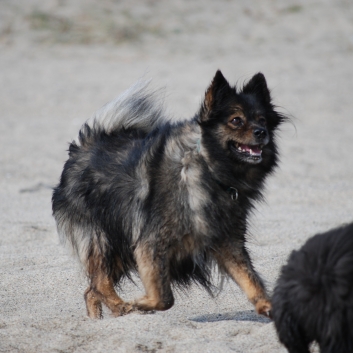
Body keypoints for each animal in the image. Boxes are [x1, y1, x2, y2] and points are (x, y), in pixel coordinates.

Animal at [51, 70, 286, 318]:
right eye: (236, 120)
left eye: (262, 120)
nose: (261, 133)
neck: (209, 169)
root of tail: (81, 148)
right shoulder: (151, 243)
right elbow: (164, 297)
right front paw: (142, 303)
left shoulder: (228, 241)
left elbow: (250, 279)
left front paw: (267, 306)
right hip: (103, 241)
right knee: (100, 283)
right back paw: (121, 306)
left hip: (121, 252)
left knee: (91, 290)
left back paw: (103, 318)